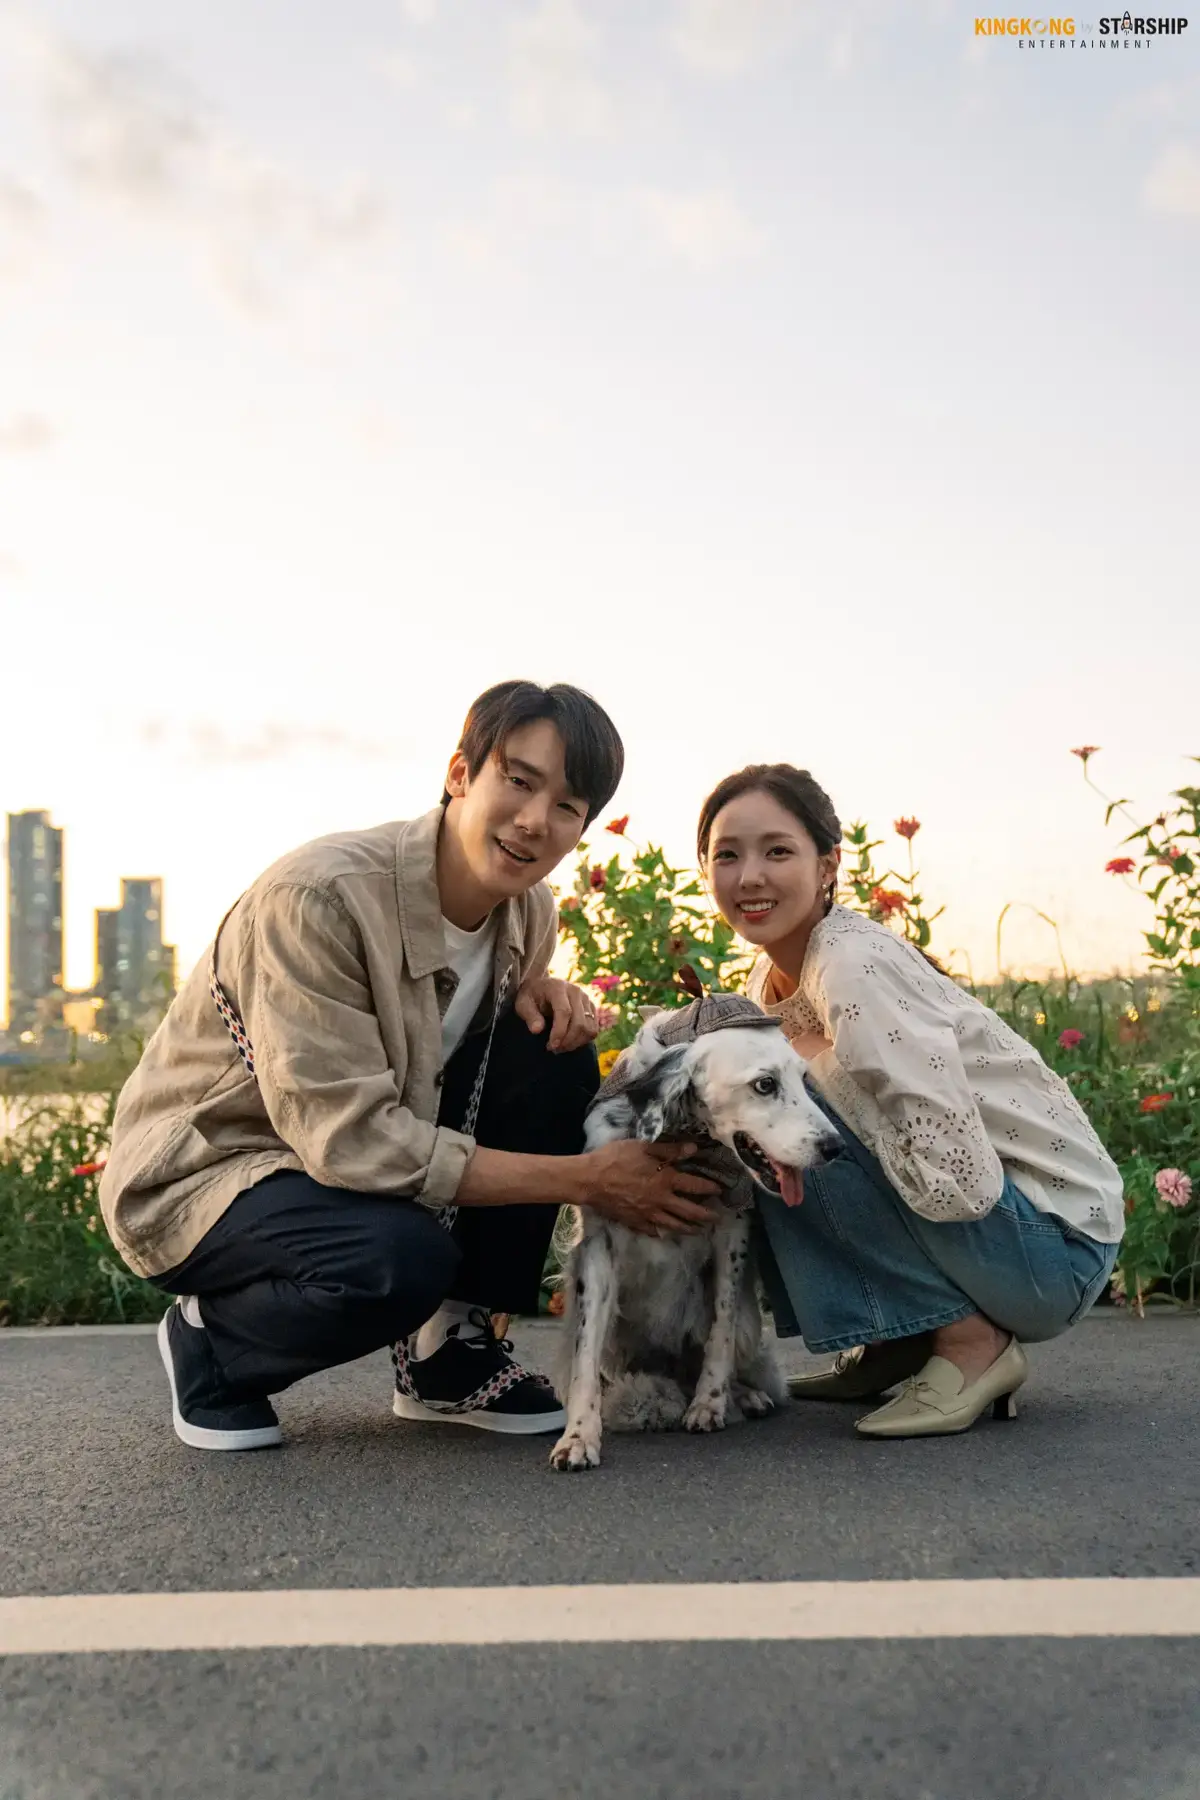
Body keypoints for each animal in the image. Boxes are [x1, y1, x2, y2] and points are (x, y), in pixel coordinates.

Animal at [550, 993, 841, 1468]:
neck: (681, 1143)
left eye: (803, 1079)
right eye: (765, 1085)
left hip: (747, 1322)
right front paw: (578, 1437)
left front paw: (710, 1402)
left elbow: (719, 1331)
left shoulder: (732, 1234)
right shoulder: (598, 1248)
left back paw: (743, 1395)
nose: (836, 1147)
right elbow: (585, 1357)